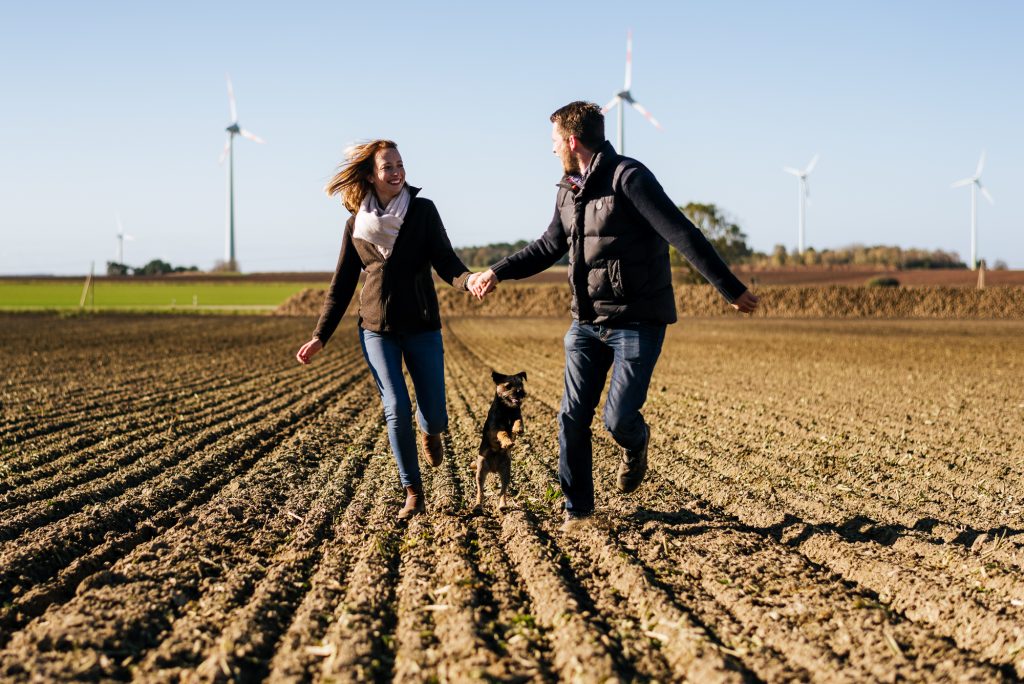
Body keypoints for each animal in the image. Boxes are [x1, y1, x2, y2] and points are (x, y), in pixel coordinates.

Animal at [475, 370, 528, 509]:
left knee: (502, 491)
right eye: (508, 386)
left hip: (506, 472)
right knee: (480, 491)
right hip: (481, 471)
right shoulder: (494, 429)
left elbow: (519, 420)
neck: (507, 409)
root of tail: (493, 469)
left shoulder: (517, 415)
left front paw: (518, 429)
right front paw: (507, 442)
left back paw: (502, 505)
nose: (520, 392)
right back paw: (477, 506)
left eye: (521, 384)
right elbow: (503, 432)